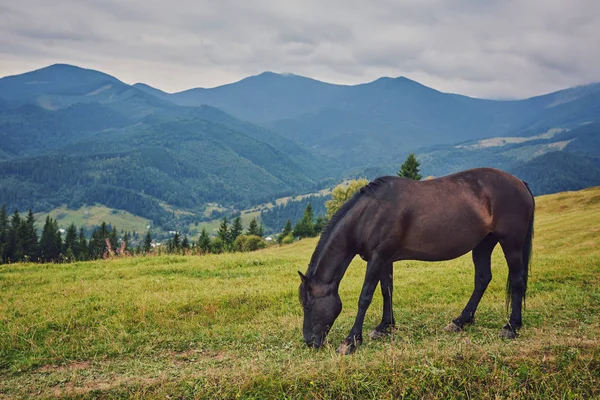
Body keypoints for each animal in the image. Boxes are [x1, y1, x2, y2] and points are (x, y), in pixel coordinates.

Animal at [298, 167, 536, 354]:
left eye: (308, 305)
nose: (310, 342)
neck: (369, 215)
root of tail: (520, 183)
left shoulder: (377, 258)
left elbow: (365, 297)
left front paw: (351, 341)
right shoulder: (385, 259)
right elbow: (387, 291)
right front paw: (385, 326)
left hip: (511, 242)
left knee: (517, 281)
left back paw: (511, 327)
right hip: (483, 244)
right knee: (482, 279)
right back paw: (460, 321)